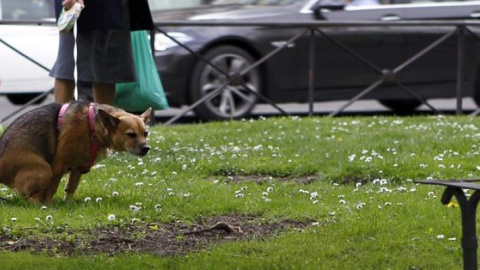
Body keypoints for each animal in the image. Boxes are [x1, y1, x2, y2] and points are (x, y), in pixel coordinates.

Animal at [0, 102, 150, 205]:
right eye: (131, 134)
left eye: (146, 133)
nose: (146, 148)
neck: (92, 128)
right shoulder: (58, 165)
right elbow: (52, 188)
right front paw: (49, 204)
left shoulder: (78, 168)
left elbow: (71, 188)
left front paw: (68, 204)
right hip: (44, 170)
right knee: (32, 199)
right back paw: (40, 205)